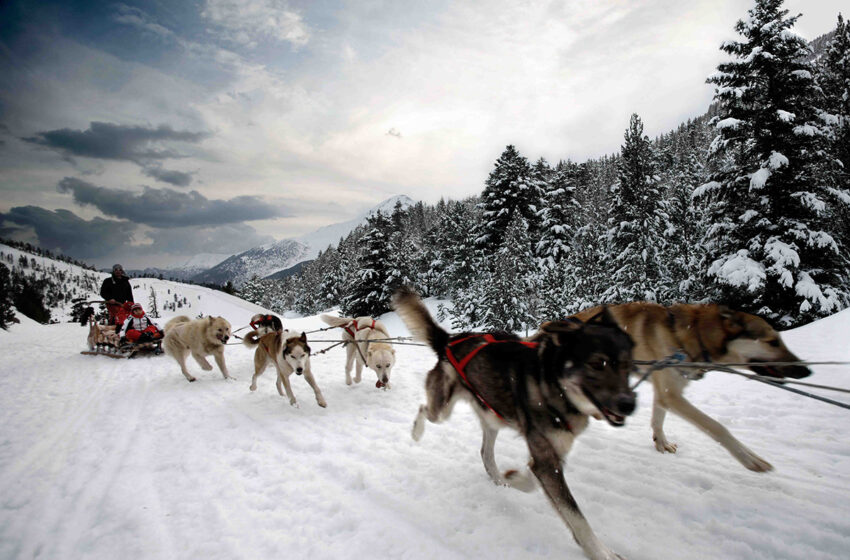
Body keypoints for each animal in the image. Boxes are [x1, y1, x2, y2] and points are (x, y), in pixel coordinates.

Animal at [394, 288, 632, 560]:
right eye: (596, 363)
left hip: (492, 416)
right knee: (425, 410)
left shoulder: (550, 456)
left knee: (485, 453)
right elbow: (576, 516)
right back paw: (416, 431)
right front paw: (600, 552)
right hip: (442, 409)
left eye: (627, 365)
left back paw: (500, 480)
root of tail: (449, 341)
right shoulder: (546, 460)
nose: (629, 403)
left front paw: (516, 478)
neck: (553, 384)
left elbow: (533, 477)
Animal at [568, 302, 808, 472]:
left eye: (779, 339)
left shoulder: (664, 392)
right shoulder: (672, 395)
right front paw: (748, 457)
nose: (806, 370)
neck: (692, 336)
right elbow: (716, 427)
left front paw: (661, 444)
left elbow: (657, 420)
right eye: (773, 342)